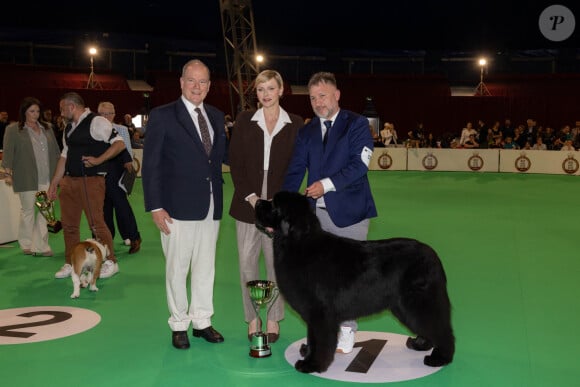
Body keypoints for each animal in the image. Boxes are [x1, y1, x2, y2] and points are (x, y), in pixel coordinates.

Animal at [256, 192, 456, 374]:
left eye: (274, 204)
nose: (257, 202)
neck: (298, 242)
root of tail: (433, 256)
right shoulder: (313, 314)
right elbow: (312, 338)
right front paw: (307, 353)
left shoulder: (320, 313)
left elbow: (320, 340)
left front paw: (312, 364)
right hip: (403, 306)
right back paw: (420, 344)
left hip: (418, 301)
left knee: (441, 328)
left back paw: (440, 358)